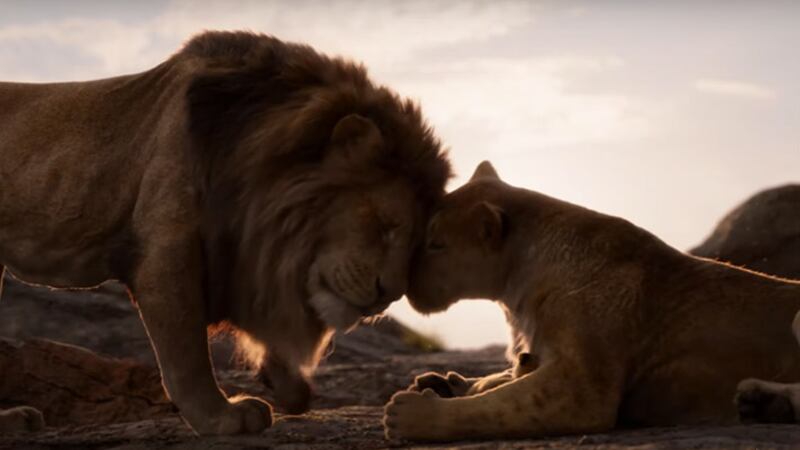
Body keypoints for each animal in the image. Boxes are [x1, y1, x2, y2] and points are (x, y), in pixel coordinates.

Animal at [0, 31, 450, 435]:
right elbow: (187, 356)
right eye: (385, 223)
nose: (387, 296)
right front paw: (222, 418)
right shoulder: (166, 252)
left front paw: (286, 385)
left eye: (416, 244)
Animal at [383, 161, 800, 442]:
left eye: (436, 244)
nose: (404, 283)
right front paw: (447, 381)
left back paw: (763, 402)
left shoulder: (583, 389)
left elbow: (497, 407)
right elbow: (502, 382)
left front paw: (412, 412)